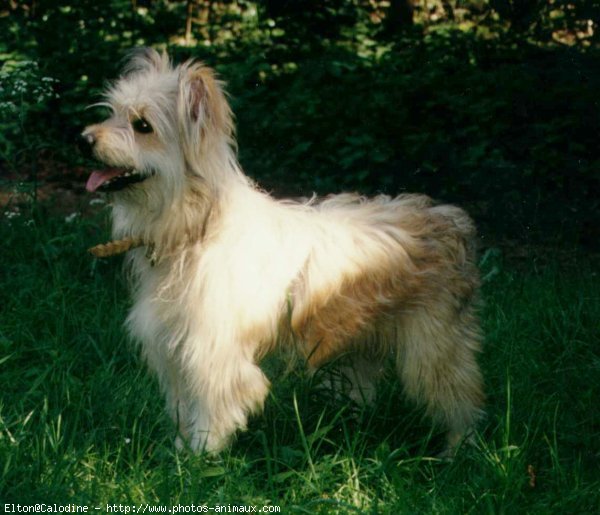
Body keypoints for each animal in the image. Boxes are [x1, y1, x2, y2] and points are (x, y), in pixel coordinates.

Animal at [82, 46, 486, 454]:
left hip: (433, 350)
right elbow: (183, 405)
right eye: (113, 112)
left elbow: (210, 408)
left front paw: (201, 455)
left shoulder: (212, 353)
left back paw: (460, 448)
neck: (197, 225)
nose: (83, 139)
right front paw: (181, 451)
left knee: (462, 399)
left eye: (142, 126)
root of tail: (450, 218)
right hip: (359, 342)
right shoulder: (174, 347)